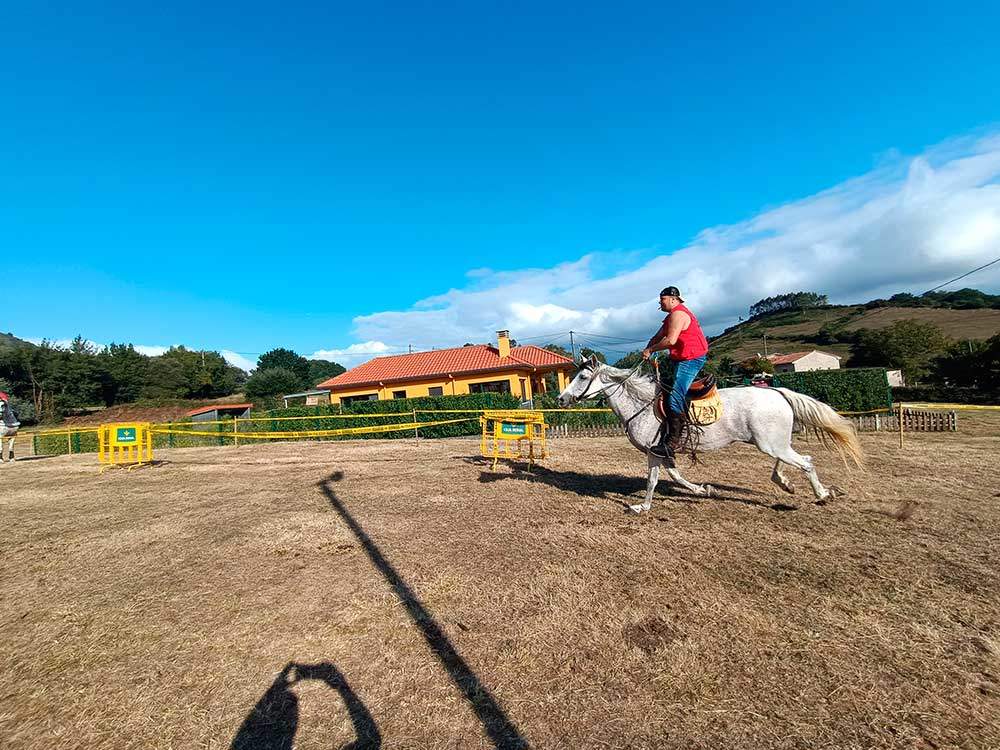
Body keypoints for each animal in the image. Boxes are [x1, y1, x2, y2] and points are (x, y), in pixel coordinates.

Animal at [557, 358, 863, 513]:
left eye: (582, 377)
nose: (561, 399)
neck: (639, 403)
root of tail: (777, 392)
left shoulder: (654, 451)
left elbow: (653, 481)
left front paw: (642, 507)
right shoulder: (663, 452)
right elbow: (676, 476)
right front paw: (703, 490)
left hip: (769, 443)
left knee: (806, 462)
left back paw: (822, 494)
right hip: (772, 442)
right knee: (797, 459)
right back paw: (785, 483)